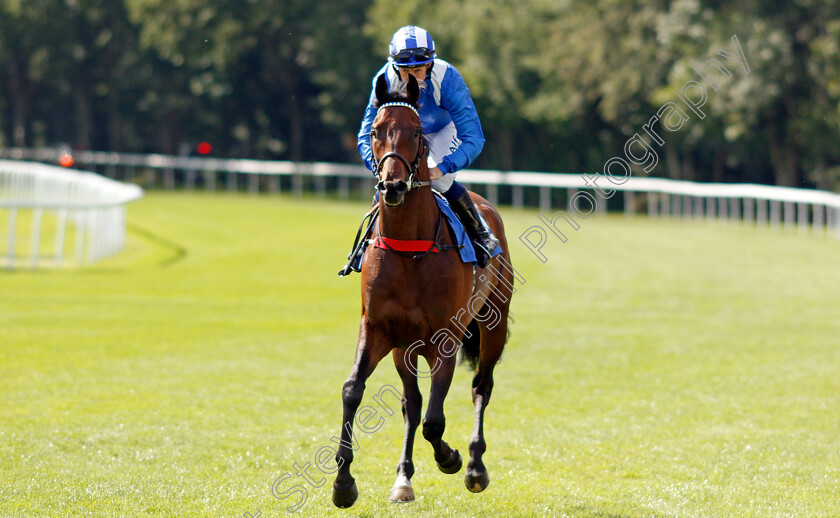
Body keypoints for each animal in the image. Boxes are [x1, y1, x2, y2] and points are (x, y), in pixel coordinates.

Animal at [332, 75, 516, 510]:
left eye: (416, 132)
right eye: (375, 131)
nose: (394, 185)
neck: (408, 249)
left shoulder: (444, 337)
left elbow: (436, 421)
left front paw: (451, 458)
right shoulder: (379, 329)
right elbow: (354, 390)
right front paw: (344, 482)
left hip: (493, 322)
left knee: (480, 386)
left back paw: (474, 467)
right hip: (405, 347)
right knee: (411, 404)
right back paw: (403, 478)